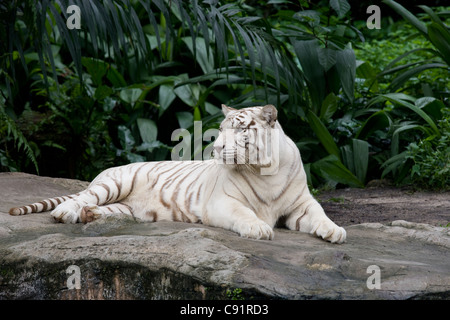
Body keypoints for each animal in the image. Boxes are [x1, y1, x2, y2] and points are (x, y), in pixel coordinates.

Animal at [8, 105, 346, 242]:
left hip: (124, 207)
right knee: (83, 197)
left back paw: (92, 216)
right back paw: (66, 212)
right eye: (221, 129)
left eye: (239, 130)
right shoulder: (223, 202)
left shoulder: (301, 204)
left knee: (100, 208)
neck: (265, 171)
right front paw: (259, 229)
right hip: (115, 183)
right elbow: (245, 214)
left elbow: (320, 215)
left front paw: (335, 232)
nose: (216, 148)